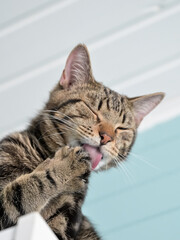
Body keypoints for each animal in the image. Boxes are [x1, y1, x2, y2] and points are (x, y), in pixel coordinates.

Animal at [0, 44, 164, 239]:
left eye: (122, 128)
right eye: (92, 109)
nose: (107, 137)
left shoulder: (60, 227)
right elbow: (20, 193)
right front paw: (63, 165)